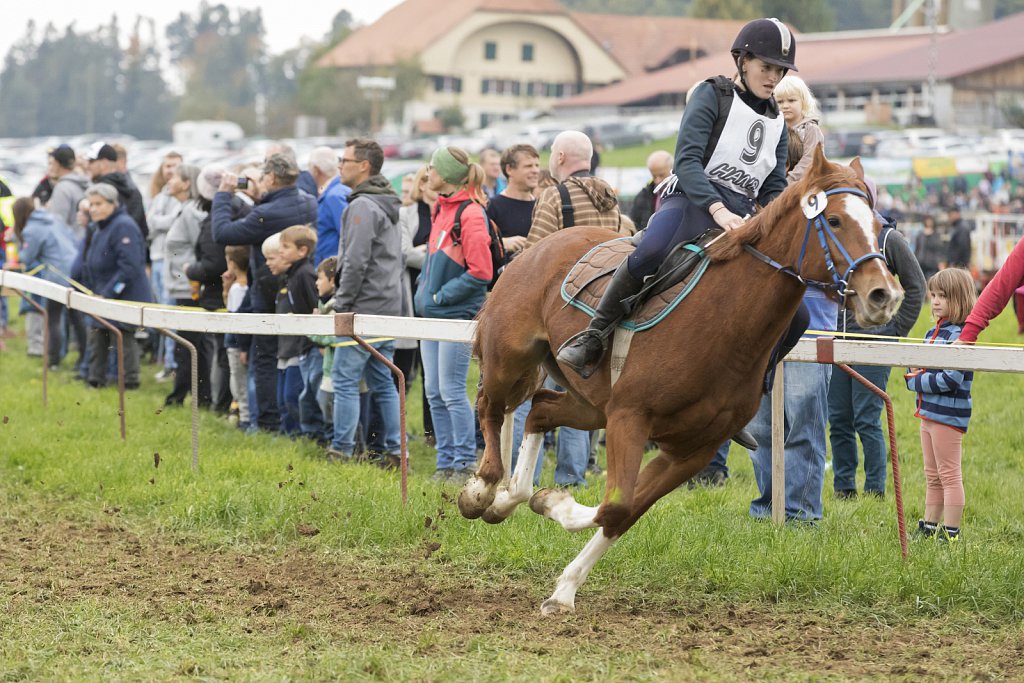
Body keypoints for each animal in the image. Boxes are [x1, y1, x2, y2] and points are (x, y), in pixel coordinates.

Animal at [460, 148, 901, 614]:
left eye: (877, 227)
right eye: (833, 220)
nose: (883, 295)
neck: (726, 322)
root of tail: (537, 245)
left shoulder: (693, 449)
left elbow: (622, 512)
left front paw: (563, 582)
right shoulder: (630, 418)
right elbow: (616, 502)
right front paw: (550, 504)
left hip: (592, 404)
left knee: (541, 409)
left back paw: (511, 497)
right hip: (510, 361)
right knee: (490, 407)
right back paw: (483, 490)